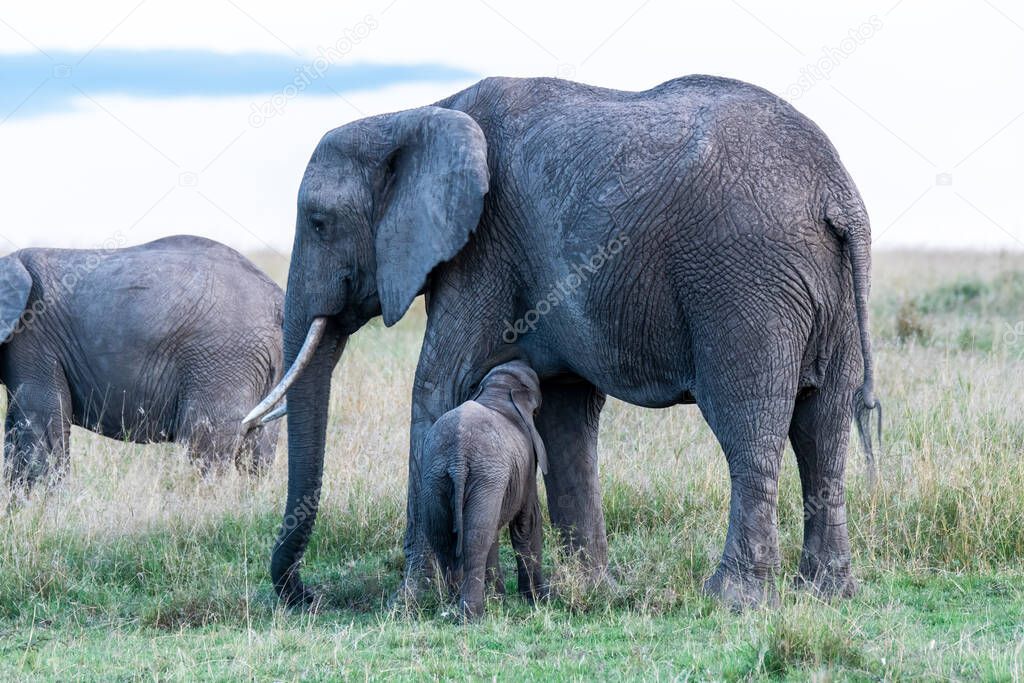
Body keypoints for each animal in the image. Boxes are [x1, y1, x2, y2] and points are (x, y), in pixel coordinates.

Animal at [1, 235, 284, 485]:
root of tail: (277, 299)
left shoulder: (33, 338)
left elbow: (41, 424)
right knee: (257, 453)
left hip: (222, 358)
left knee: (203, 447)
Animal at [415, 358, 548, 618]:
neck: (498, 391)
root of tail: (457, 456)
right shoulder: (528, 462)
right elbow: (527, 523)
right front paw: (539, 600)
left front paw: (500, 599)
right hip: (484, 475)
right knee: (476, 539)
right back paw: (472, 614)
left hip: (436, 478)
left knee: (443, 536)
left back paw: (453, 605)